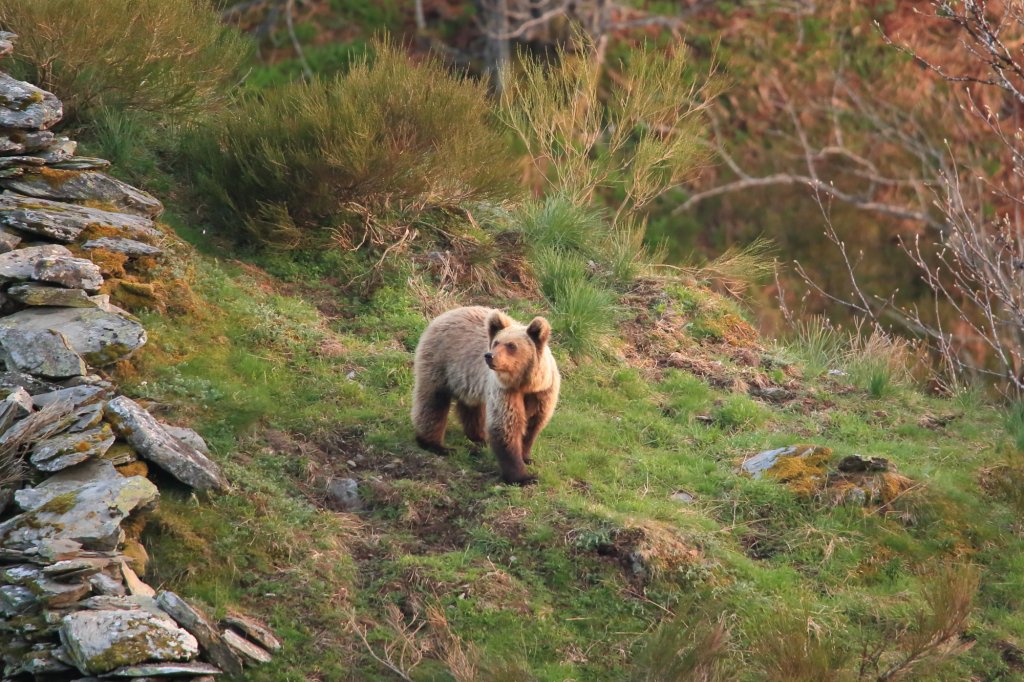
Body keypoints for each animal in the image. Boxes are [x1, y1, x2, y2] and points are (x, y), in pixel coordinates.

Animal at [411, 303, 565, 483]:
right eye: (497, 342)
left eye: (511, 345)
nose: (489, 356)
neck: (525, 384)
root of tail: (444, 314)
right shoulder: (505, 391)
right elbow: (506, 425)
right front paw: (523, 476)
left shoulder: (542, 393)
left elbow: (533, 424)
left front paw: (527, 457)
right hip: (440, 362)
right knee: (433, 402)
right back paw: (436, 445)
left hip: (466, 377)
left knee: (471, 406)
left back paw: (479, 437)